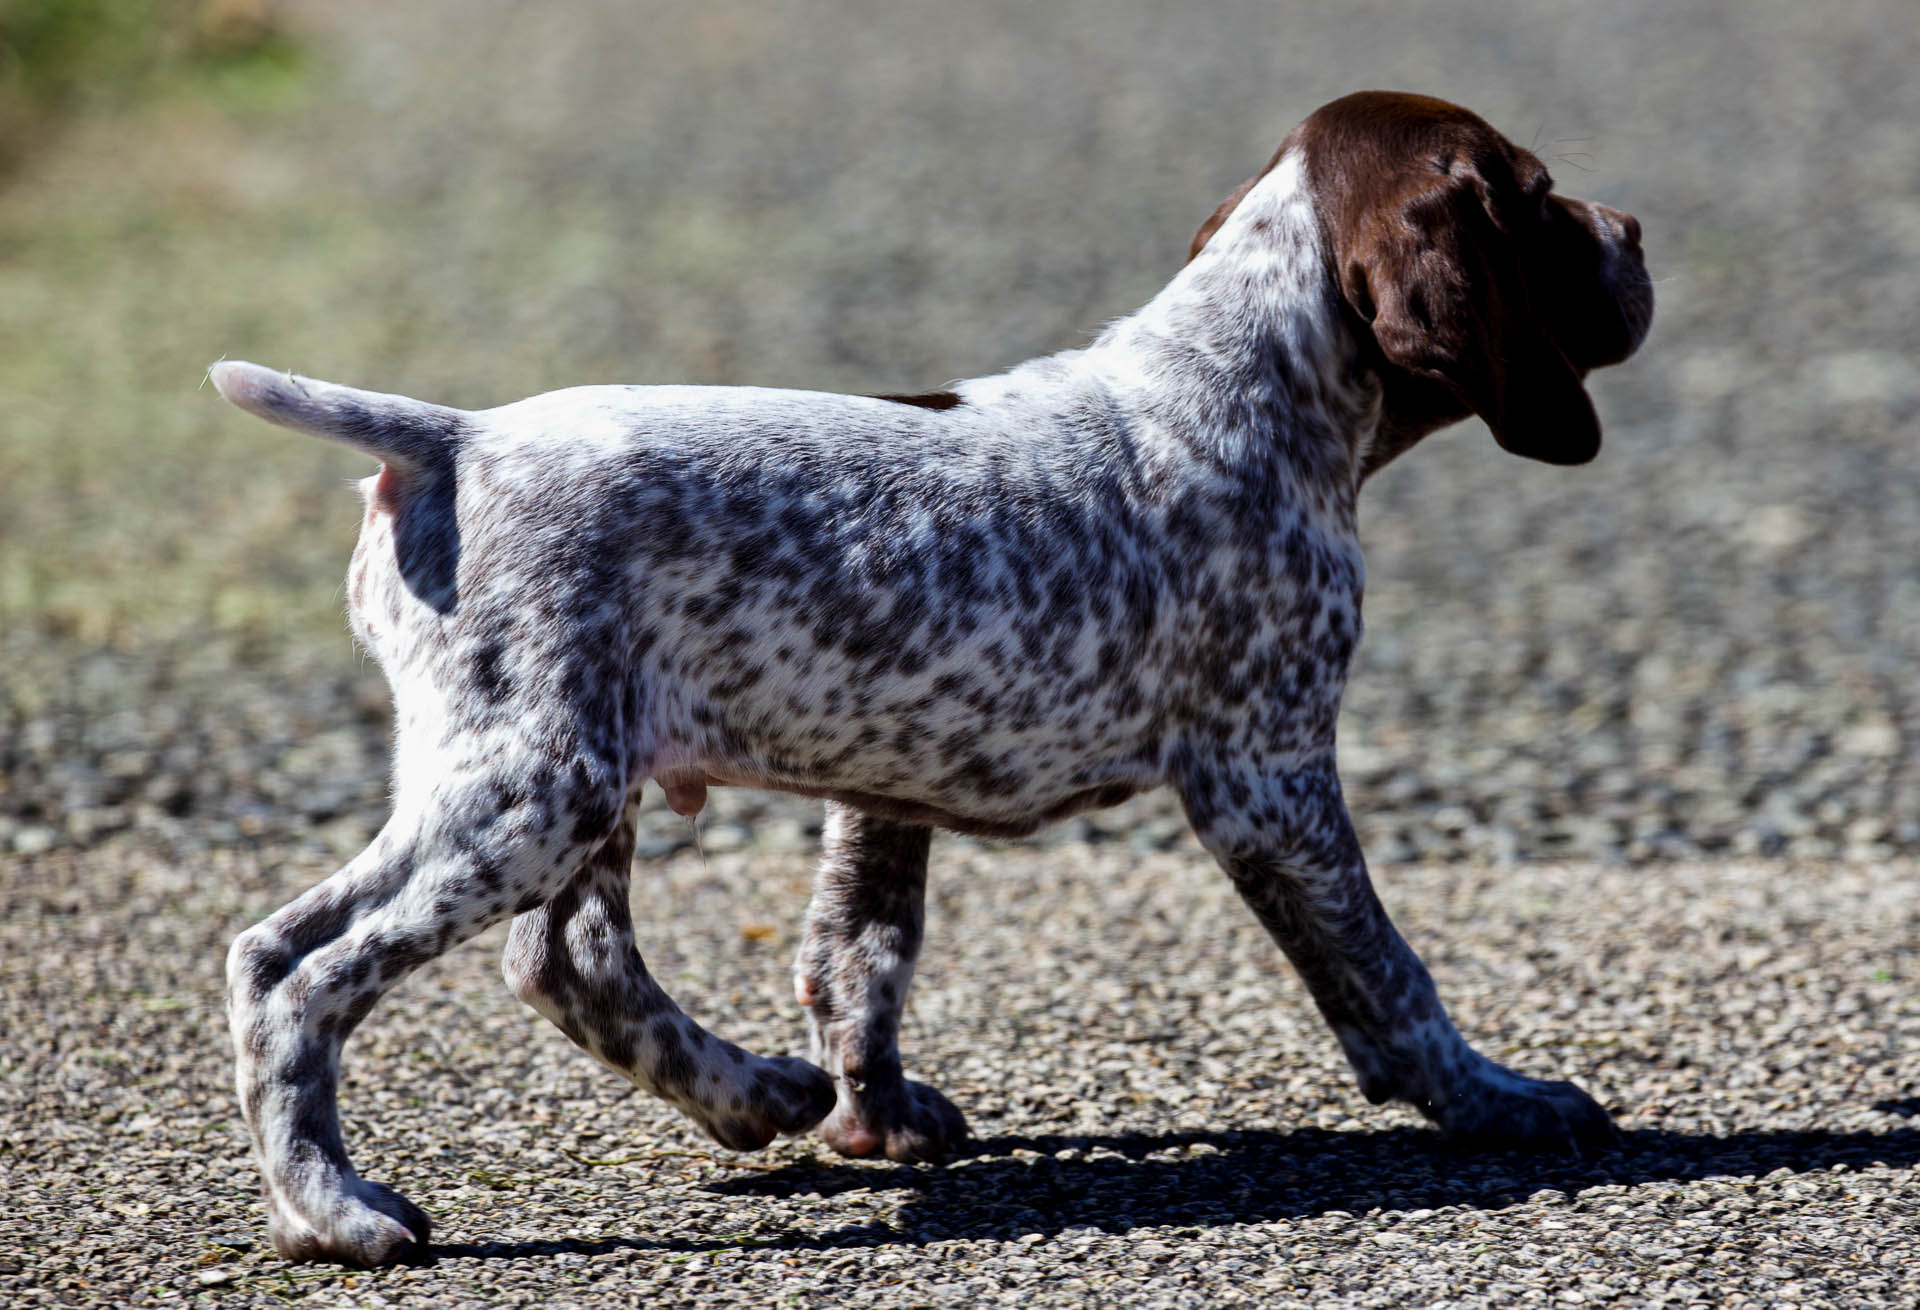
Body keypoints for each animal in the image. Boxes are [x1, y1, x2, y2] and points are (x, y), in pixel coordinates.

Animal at [211, 90, 1652, 1266]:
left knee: (538, 957)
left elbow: (862, 949)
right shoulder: (1268, 778)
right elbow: (1387, 973)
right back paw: (333, 1209)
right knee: (307, 972)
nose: (1636, 227)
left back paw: (746, 1094)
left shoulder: (883, 780)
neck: (1235, 380)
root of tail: (454, 438)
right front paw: (1495, 1098)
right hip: (531, 787)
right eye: (1535, 194)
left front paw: (874, 1111)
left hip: (565, 771)